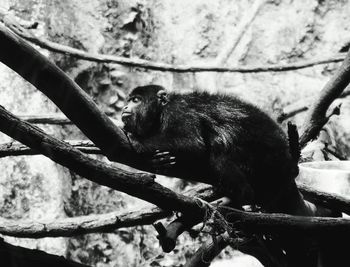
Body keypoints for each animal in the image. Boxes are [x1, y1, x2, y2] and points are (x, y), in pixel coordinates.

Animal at [120, 86, 312, 218]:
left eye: (136, 100)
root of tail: (290, 162)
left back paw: (240, 197)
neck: (160, 112)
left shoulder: (178, 110)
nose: (124, 108)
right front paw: (159, 161)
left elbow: (192, 144)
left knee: (219, 153)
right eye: (129, 100)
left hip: (266, 156)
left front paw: (137, 140)